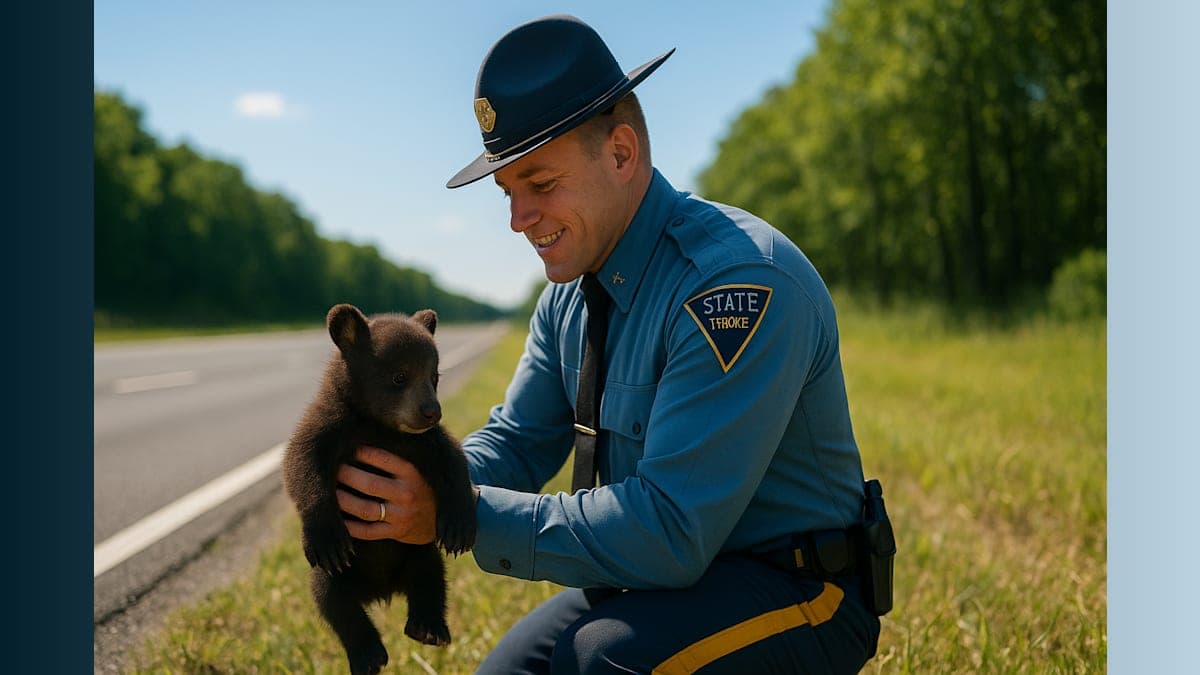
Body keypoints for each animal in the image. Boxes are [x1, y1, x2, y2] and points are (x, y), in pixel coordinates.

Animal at [282, 303, 477, 675]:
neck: (377, 427)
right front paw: (326, 535)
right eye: (399, 377)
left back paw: (428, 628)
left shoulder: (422, 442)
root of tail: (382, 591)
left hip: (418, 552)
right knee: (334, 600)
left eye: (434, 377)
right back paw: (369, 655)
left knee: (431, 577)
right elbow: (301, 464)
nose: (431, 411)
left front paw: (459, 526)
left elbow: (453, 460)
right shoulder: (329, 426)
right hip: (336, 576)